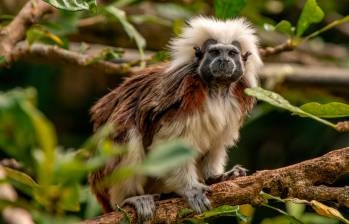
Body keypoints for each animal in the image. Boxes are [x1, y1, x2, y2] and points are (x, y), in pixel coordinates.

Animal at [88, 17, 262, 222]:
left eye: (232, 53)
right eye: (215, 52)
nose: (223, 61)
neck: (217, 90)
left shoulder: (234, 106)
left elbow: (217, 143)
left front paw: (217, 177)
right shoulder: (182, 96)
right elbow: (170, 145)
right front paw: (190, 189)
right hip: (104, 179)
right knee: (127, 132)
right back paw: (130, 198)